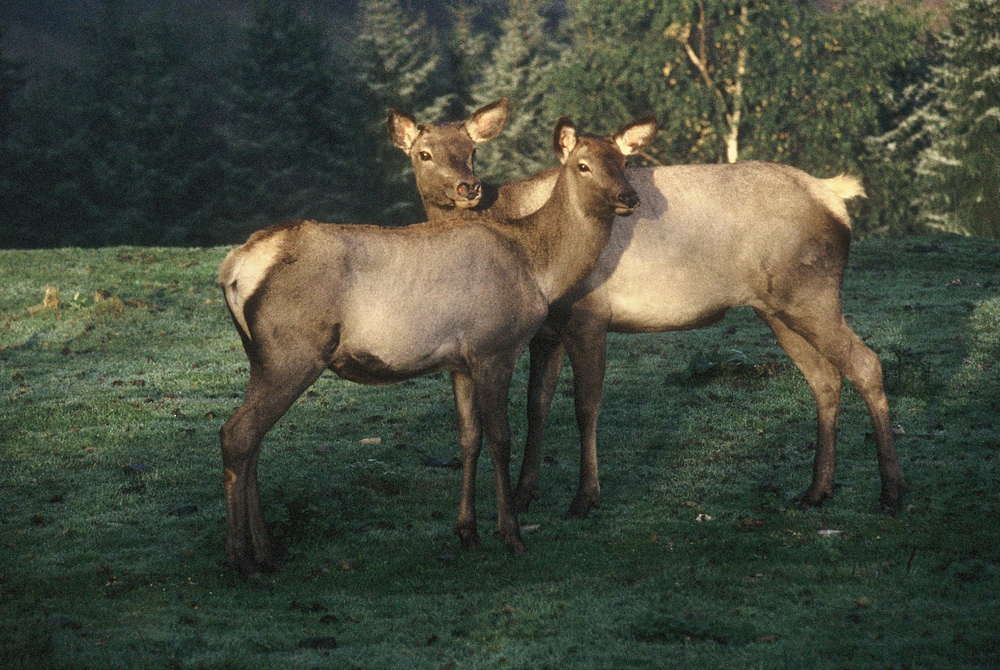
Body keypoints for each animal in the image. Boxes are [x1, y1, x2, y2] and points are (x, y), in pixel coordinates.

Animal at [218, 113, 656, 576]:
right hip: (292, 351)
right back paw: (240, 558)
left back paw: (266, 551)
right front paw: (511, 535)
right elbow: (501, 439)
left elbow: (469, 439)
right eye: (583, 166)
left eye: (624, 162)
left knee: (252, 438)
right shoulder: (493, 347)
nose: (629, 196)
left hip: (261, 356)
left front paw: (467, 532)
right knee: (238, 433)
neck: (539, 268)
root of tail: (233, 268)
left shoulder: (459, 362)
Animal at [388, 100, 908, 524]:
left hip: (811, 293)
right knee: (825, 378)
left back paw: (891, 494)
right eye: (424, 154)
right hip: (779, 307)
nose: (468, 187)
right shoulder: (548, 330)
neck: (529, 236)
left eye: (472, 150)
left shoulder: (588, 316)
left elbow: (585, 406)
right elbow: (538, 405)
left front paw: (584, 498)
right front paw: (523, 496)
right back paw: (817, 490)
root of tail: (834, 195)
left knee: (866, 363)